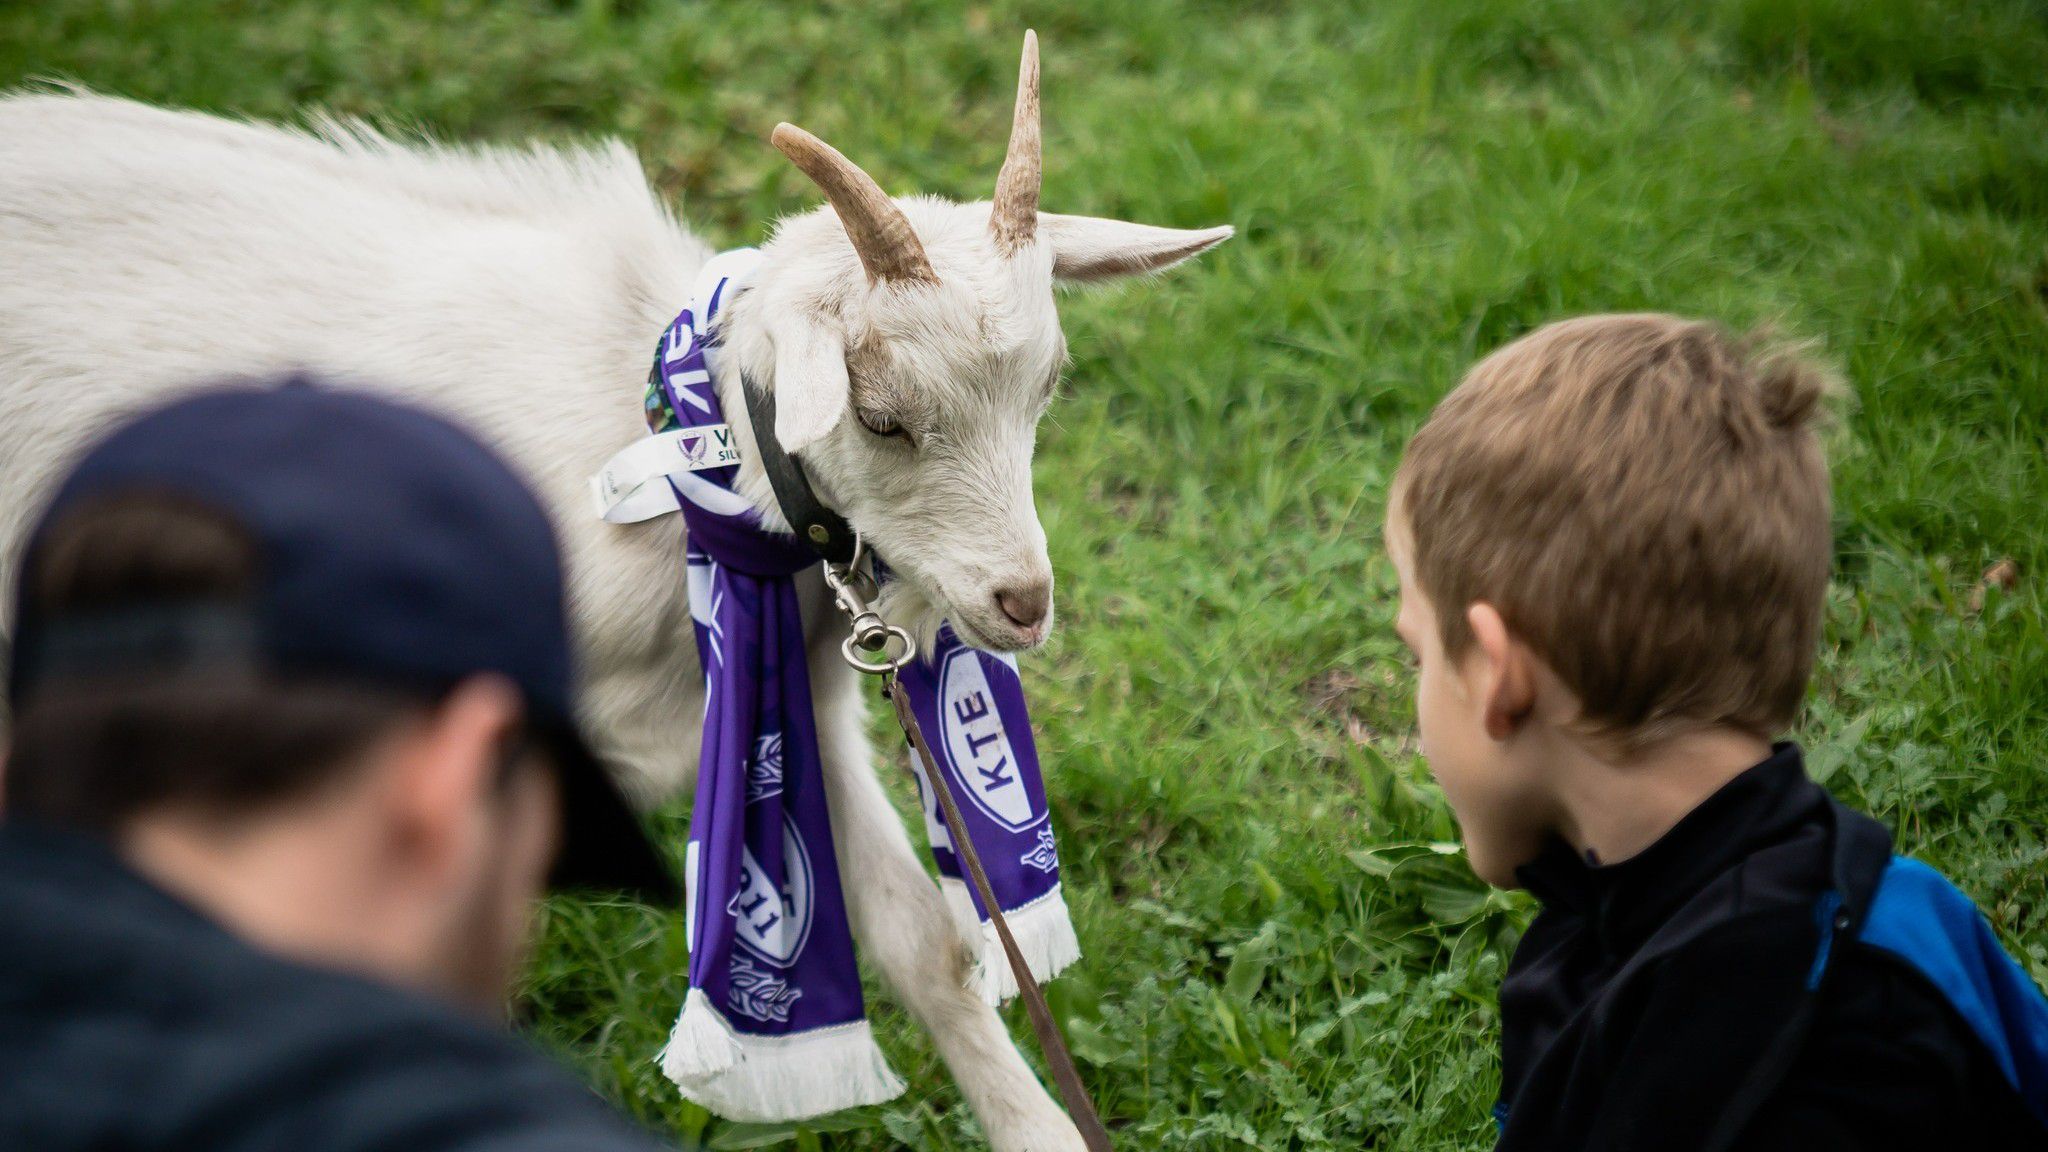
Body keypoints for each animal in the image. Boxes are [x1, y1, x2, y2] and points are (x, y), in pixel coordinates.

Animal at [0, 31, 1220, 1139]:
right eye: (879, 417)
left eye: (1046, 387)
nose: (1023, 603)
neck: (673, 456)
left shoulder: (796, 699)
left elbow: (921, 939)